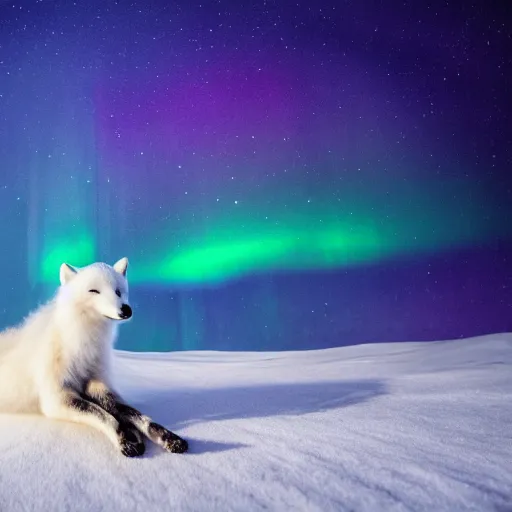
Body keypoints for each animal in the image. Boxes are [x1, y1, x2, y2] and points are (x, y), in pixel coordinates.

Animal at [0, 258, 188, 458]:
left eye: (118, 291)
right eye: (94, 291)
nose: (126, 309)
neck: (83, 348)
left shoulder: (99, 383)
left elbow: (136, 414)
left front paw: (167, 437)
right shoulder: (57, 398)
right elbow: (104, 416)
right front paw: (126, 439)